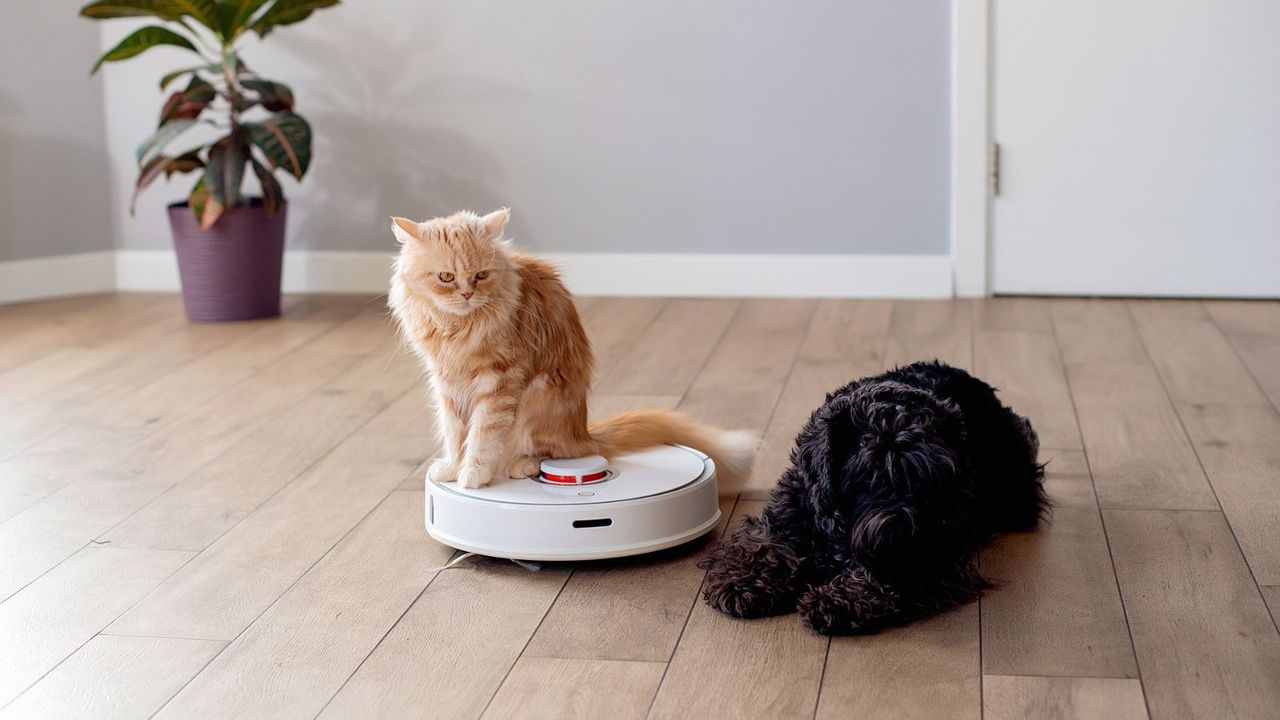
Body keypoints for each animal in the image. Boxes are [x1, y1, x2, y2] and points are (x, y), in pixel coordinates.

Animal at [384, 207, 752, 486]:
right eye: (446, 278)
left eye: (481, 276)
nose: (466, 294)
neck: (455, 328)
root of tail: (583, 431)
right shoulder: (446, 382)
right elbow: (454, 432)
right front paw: (451, 466)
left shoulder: (498, 380)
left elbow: (482, 435)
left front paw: (472, 474)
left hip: (539, 395)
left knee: (553, 453)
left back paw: (520, 464)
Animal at [701, 361, 1049, 630]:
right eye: (871, 471)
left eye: (938, 473)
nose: (919, 531)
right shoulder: (787, 514)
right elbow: (763, 546)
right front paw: (743, 583)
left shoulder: (928, 560)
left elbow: (883, 581)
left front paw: (837, 601)